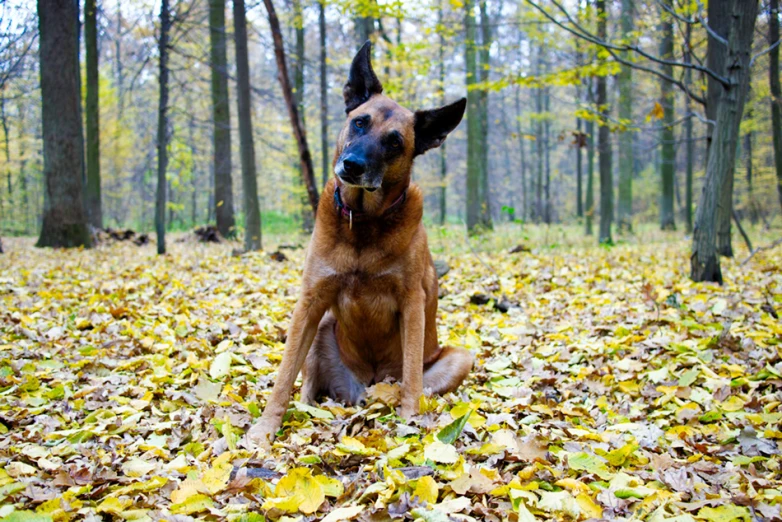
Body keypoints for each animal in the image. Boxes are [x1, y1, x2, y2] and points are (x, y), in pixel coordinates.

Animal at [248, 41, 474, 446]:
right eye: (359, 122)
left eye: (395, 142)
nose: (352, 165)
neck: (363, 222)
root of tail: (365, 386)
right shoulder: (310, 301)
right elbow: (284, 374)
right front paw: (266, 428)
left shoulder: (412, 304)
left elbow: (412, 377)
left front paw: (409, 421)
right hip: (322, 326)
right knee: (308, 387)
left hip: (459, 358)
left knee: (416, 382)